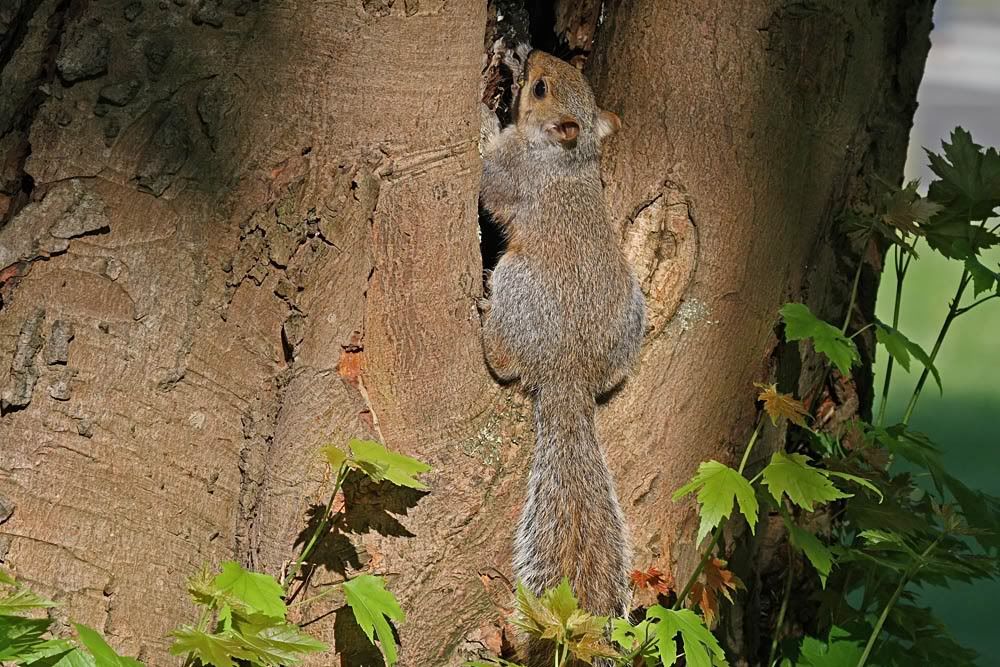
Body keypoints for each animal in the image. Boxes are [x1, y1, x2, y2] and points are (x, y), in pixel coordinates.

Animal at [478, 47, 646, 659]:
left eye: (541, 89)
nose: (535, 55)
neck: (567, 157)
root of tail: (568, 375)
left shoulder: (513, 172)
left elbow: (490, 182)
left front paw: (483, 127)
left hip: (515, 285)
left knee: (506, 359)